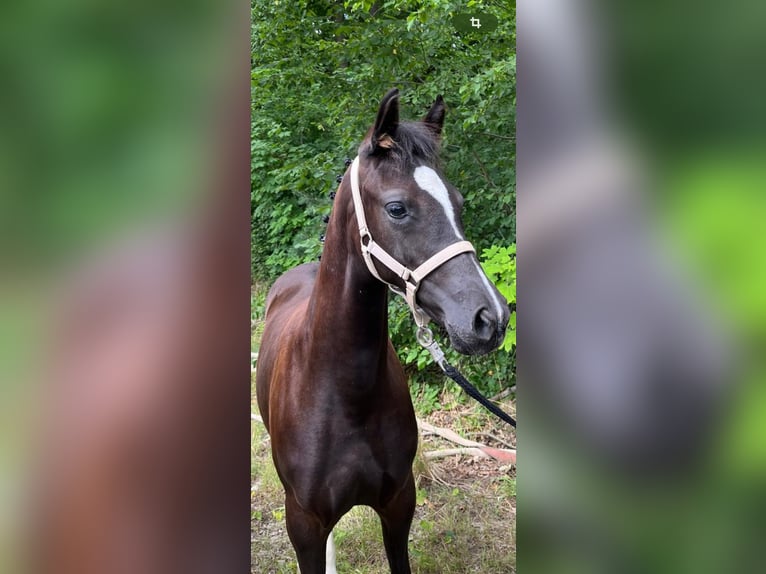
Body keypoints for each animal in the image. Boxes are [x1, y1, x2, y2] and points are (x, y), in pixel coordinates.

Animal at [256, 90, 510, 574]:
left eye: (459, 203)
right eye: (397, 207)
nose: (490, 318)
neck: (344, 394)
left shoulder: (398, 506)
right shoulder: (304, 525)